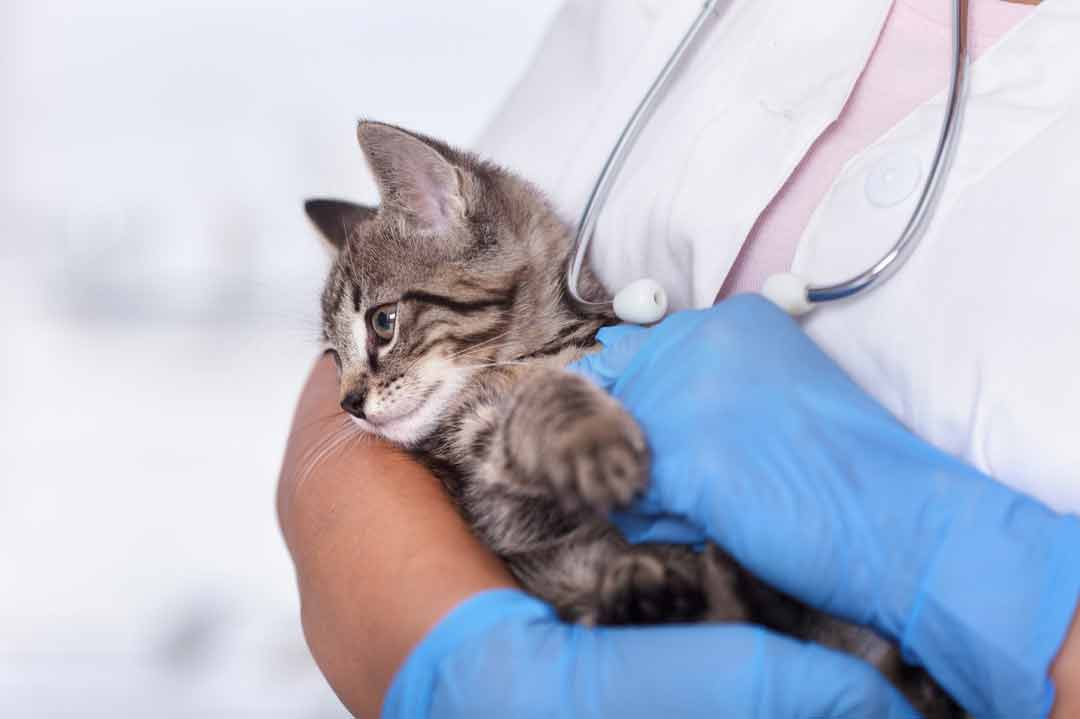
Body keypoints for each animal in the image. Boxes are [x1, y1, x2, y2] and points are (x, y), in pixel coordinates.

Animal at [304, 120, 963, 712]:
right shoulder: (495, 501)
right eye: (334, 357)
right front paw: (591, 442)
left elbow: (550, 391)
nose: (348, 404)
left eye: (382, 323)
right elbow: (533, 418)